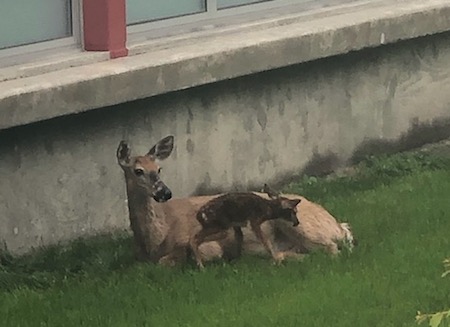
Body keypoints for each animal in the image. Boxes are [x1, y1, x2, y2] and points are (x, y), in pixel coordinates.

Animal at [116, 136, 356, 266]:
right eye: (138, 171)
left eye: (159, 169)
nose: (164, 192)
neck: (156, 238)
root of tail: (338, 225)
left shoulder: (209, 245)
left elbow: (170, 261)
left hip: (295, 222)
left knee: (330, 248)